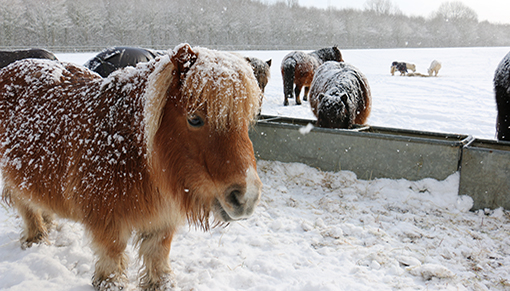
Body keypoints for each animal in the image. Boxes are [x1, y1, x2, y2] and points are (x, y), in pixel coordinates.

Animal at [0, 44, 262, 290]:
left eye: (245, 121)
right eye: (195, 119)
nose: (246, 198)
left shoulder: (163, 219)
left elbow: (158, 253)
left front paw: (160, 283)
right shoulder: (107, 219)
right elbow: (112, 253)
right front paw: (110, 282)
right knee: (25, 206)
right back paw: (36, 237)